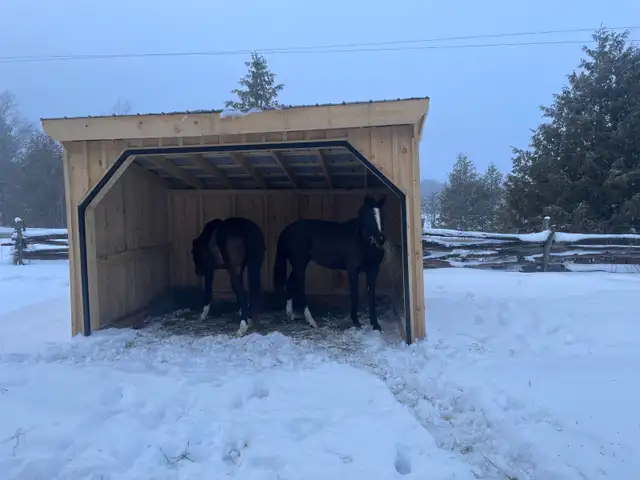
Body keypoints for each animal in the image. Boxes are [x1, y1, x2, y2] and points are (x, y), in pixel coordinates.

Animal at [273, 195, 389, 331]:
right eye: (368, 215)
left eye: (382, 215)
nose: (381, 239)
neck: (361, 240)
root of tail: (287, 230)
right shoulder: (353, 269)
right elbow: (355, 294)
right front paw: (356, 322)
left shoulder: (373, 270)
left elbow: (372, 296)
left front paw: (375, 324)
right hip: (299, 263)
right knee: (299, 287)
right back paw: (311, 321)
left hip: (299, 264)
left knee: (291, 283)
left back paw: (291, 314)